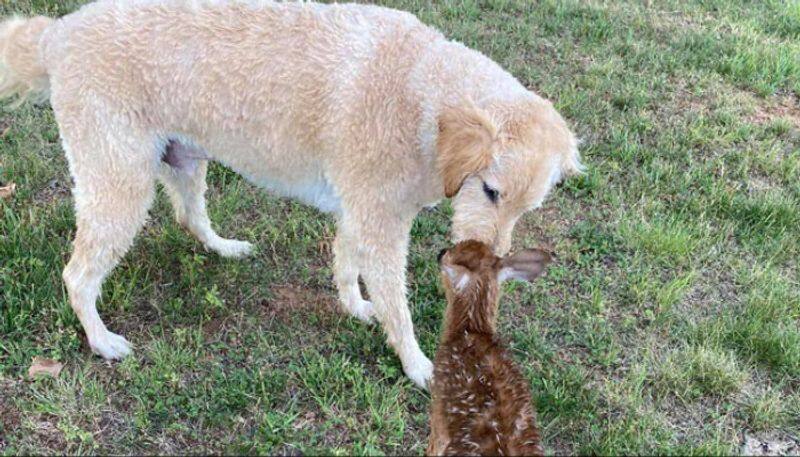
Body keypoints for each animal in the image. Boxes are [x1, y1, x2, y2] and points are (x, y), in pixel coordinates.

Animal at [0, 0, 580, 388]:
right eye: (490, 190)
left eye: (526, 208)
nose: (493, 263)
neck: (426, 97)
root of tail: (59, 33)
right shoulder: (381, 225)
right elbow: (398, 307)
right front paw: (418, 365)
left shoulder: (360, 213)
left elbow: (346, 263)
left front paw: (355, 306)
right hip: (119, 186)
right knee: (77, 276)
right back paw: (101, 341)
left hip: (183, 158)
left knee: (190, 219)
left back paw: (225, 247)